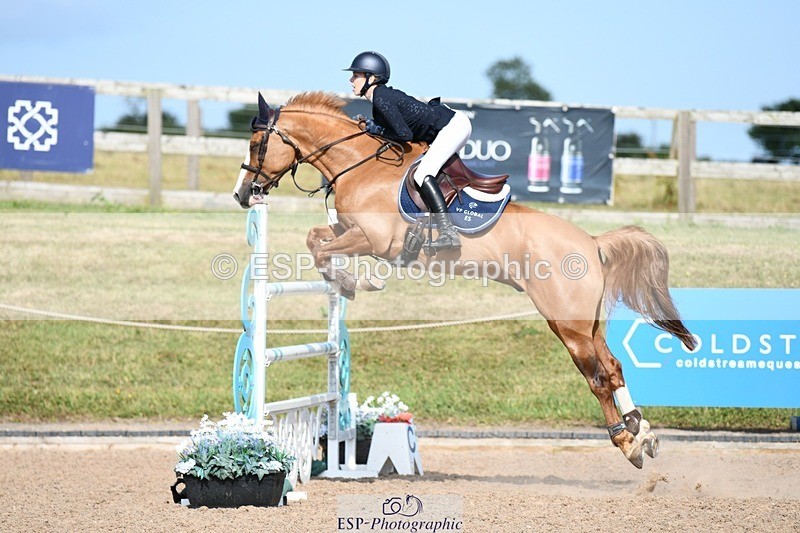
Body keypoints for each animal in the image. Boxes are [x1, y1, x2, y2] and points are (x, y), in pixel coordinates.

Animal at [232, 91, 697, 469]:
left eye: (256, 144)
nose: (242, 194)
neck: (358, 165)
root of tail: (593, 242)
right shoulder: (350, 231)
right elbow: (316, 239)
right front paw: (346, 280)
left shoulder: (373, 240)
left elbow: (322, 248)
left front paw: (354, 283)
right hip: (589, 323)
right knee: (614, 368)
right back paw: (643, 432)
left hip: (567, 324)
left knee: (598, 377)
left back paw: (626, 442)